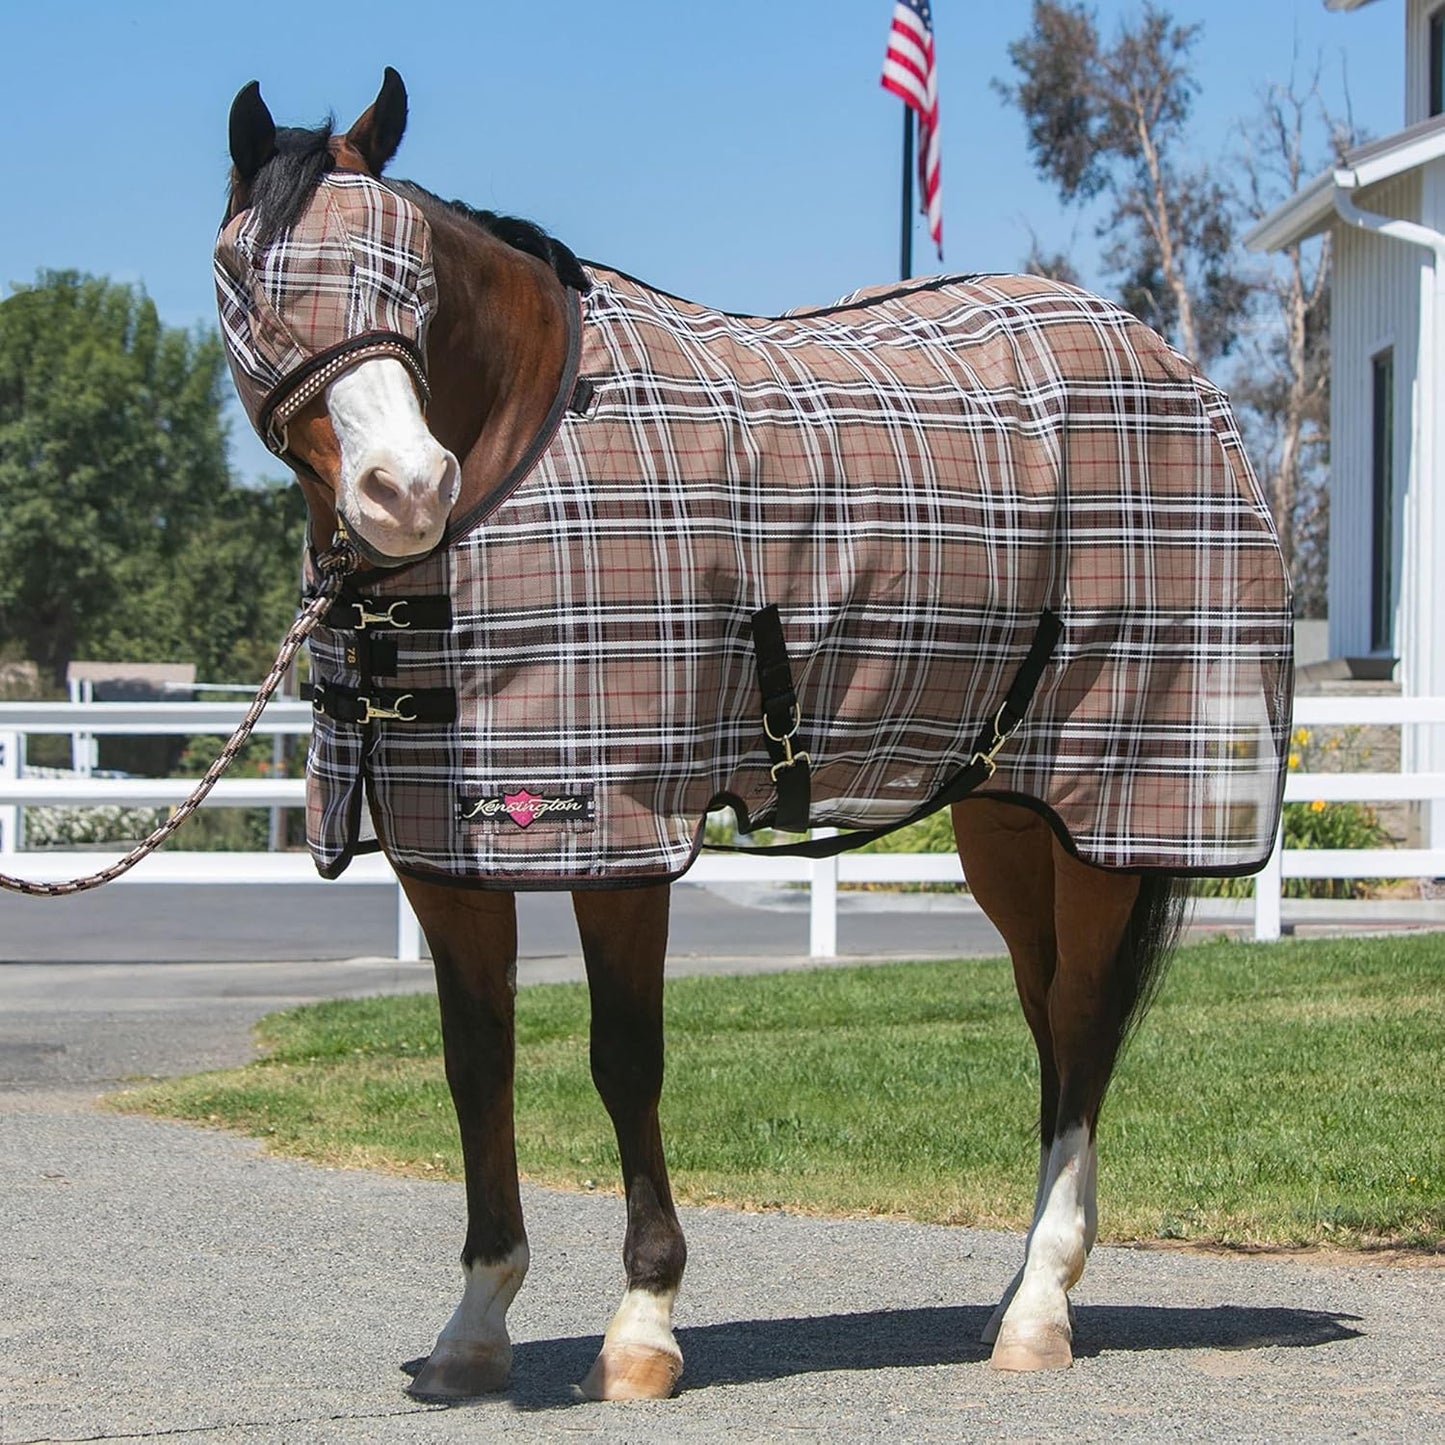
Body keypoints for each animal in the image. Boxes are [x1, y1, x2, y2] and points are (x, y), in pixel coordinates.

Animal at [214, 71, 1292, 1399]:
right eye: (247, 280)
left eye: (412, 280)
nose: (404, 488)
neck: (525, 457)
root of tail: (1168, 364)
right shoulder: (444, 851)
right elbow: (478, 1067)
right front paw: (475, 1324)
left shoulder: (619, 838)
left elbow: (624, 1060)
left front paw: (641, 1325)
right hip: (1008, 815)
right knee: (1048, 1021)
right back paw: (1023, 1285)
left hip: (1113, 811)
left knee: (1084, 1026)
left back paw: (1037, 1309)